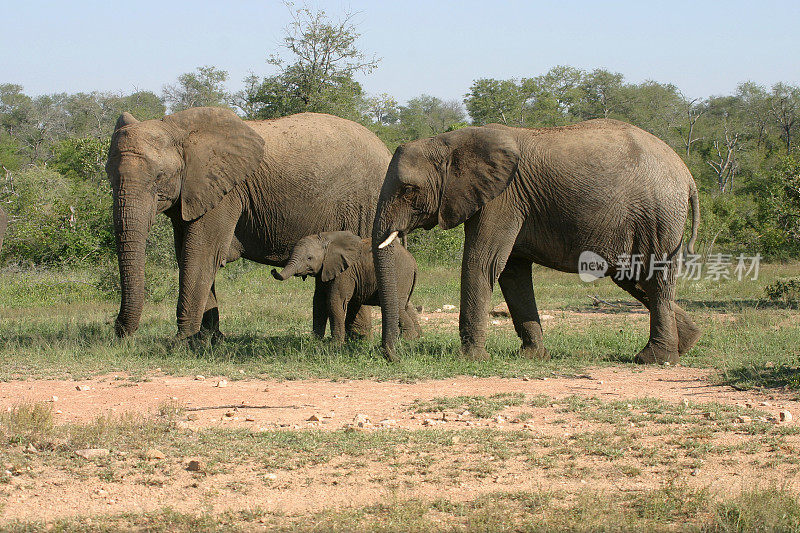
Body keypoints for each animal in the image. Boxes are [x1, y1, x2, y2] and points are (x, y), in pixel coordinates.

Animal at [104, 107, 392, 338]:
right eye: (108, 176)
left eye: (160, 178)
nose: (119, 333)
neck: (179, 130)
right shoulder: (190, 196)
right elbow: (187, 253)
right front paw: (208, 342)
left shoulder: (226, 193)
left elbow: (200, 255)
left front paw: (181, 343)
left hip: (367, 202)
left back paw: (358, 341)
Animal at [270, 231, 422, 342]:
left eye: (309, 258)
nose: (273, 270)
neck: (326, 238)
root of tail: (413, 261)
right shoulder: (324, 270)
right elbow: (318, 301)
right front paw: (316, 343)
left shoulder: (345, 272)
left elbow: (334, 301)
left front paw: (335, 345)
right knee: (405, 305)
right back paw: (415, 338)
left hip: (400, 274)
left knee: (397, 306)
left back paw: (407, 340)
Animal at [372, 118, 696, 364]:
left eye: (408, 190)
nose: (395, 355)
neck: (450, 141)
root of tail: (686, 172)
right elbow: (512, 273)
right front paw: (533, 356)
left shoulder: (502, 199)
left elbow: (483, 264)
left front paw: (471, 358)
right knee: (634, 278)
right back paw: (688, 342)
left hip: (658, 215)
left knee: (655, 278)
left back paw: (654, 358)